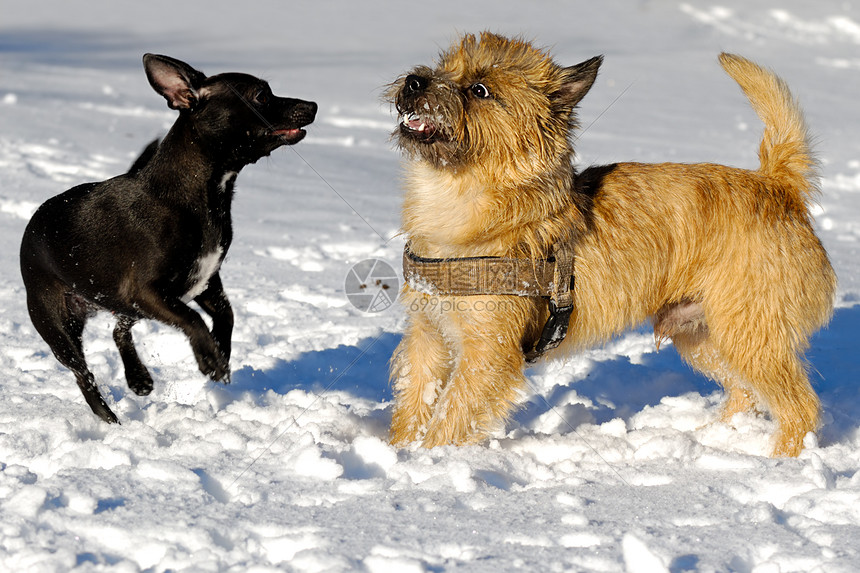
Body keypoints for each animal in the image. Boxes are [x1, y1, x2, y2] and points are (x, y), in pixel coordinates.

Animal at [20, 55, 316, 422]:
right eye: (261, 96)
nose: (313, 105)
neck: (198, 195)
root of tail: (33, 222)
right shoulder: (148, 291)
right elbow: (193, 319)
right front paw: (210, 360)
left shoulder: (205, 282)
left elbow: (226, 315)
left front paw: (221, 352)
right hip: (58, 323)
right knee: (82, 372)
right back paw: (108, 417)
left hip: (124, 306)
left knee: (118, 331)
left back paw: (139, 379)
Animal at [386, 33, 836, 458]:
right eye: (443, 65)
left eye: (479, 89)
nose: (414, 80)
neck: (456, 199)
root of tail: (778, 186)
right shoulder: (427, 335)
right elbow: (415, 401)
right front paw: (399, 450)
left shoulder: (488, 354)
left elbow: (451, 415)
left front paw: (428, 461)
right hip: (703, 336)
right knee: (746, 394)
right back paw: (715, 438)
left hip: (751, 335)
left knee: (799, 407)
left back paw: (778, 460)